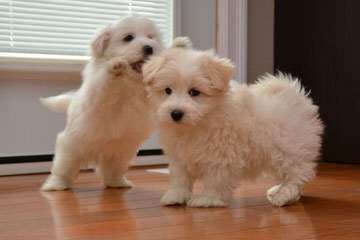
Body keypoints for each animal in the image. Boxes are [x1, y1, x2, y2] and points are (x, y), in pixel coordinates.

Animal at [40, 15, 162, 191]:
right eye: (128, 38)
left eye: (151, 38)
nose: (149, 48)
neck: (130, 81)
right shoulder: (96, 93)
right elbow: (104, 83)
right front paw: (115, 66)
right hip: (72, 145)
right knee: (63, 168)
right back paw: (56, 184)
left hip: (120, 152)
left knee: (111, 170)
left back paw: (117, 183)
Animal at [143, 47, 324, 207]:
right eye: (167, 90)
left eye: (194, 92)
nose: (176, 113)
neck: (196, 124)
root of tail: (294, 97)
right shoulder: (179, 157)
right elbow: (180, 178)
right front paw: (175, 196)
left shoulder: (220, 156)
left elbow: (215, 179)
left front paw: (207, 199)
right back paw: (280, 192)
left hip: (288, 149)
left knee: (299, 173)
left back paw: (283, 195)